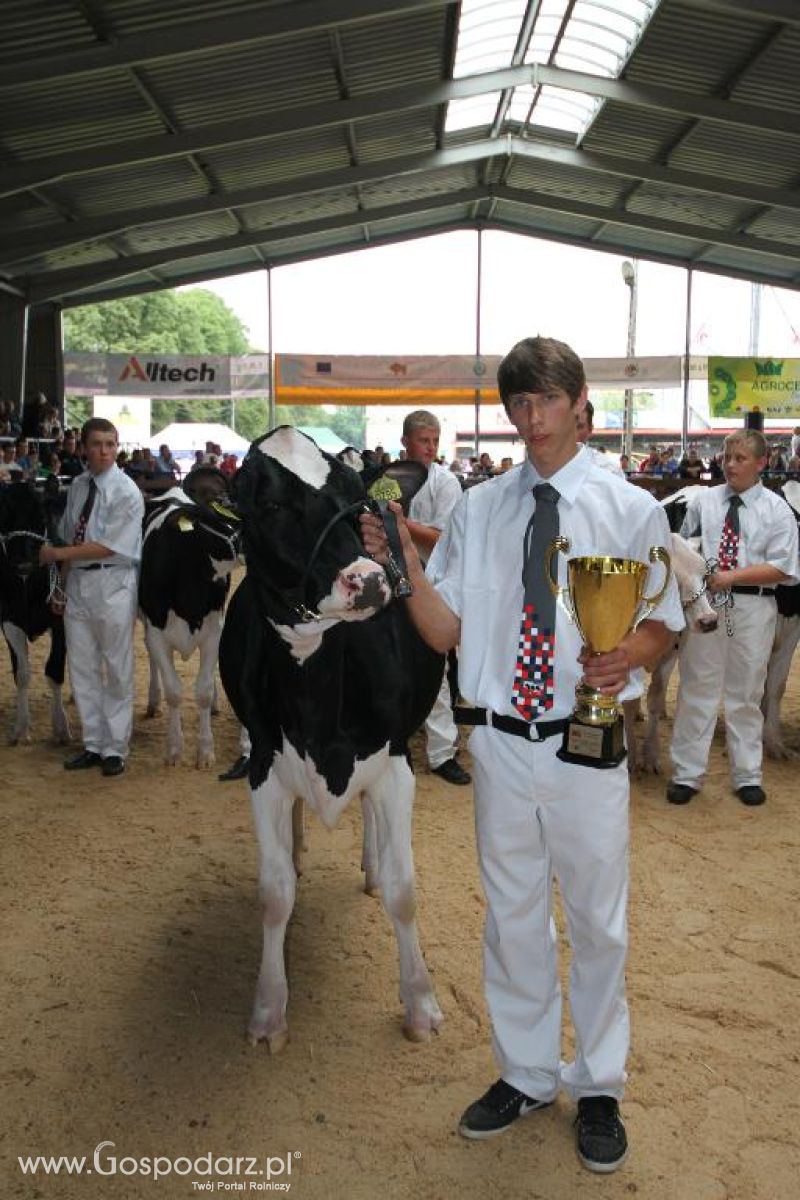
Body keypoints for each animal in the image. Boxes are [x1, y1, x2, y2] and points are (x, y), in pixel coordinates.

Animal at [0, 477, 69, 739]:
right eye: (4, 514)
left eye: (41, 515)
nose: (22, 563)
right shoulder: (9, 620)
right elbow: (21, 673)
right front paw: (20, 727)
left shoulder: (60, 619)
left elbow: (55, 670)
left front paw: (60, 726)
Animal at [139, 482, 239, 763]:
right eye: (223, 516)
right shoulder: (157, 632)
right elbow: (174, 691)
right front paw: (174, 748)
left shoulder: (214, 631)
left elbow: (202, 691)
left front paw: (205, 751)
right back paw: (153, 701)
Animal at [219, 429, 443, 1051]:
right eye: (268, 504)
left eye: (358, 498)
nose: (369, 580)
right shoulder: (263, 768)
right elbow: (273, 897)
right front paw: (268, 1012)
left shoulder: (394, 765)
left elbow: (404, 890)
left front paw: (420, 1004)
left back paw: (369, 863)